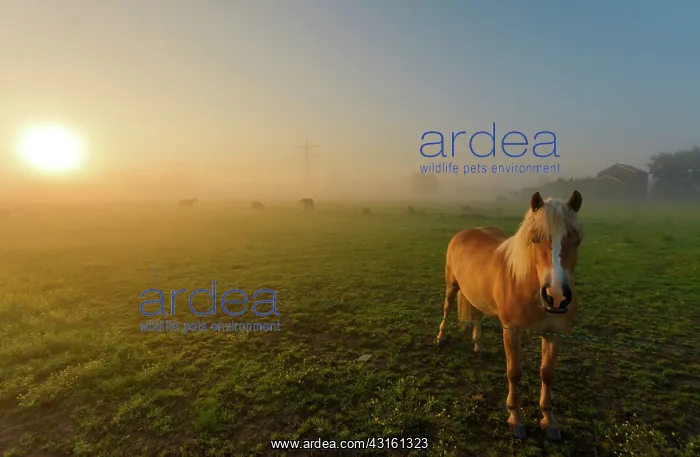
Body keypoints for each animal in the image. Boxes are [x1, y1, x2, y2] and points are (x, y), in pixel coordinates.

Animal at [436, 190, 583, 441]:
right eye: (535, 238)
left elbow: (547, 373)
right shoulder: (511, 331)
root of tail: (464, 232)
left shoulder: (555, 334)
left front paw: (549, 420)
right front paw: (515, 418)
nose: (556, 296)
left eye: (577, 239)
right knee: (446, 308)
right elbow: (514, 373)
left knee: (477, 317)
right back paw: (440, 337)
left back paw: (478, 345)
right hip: (452, 285)